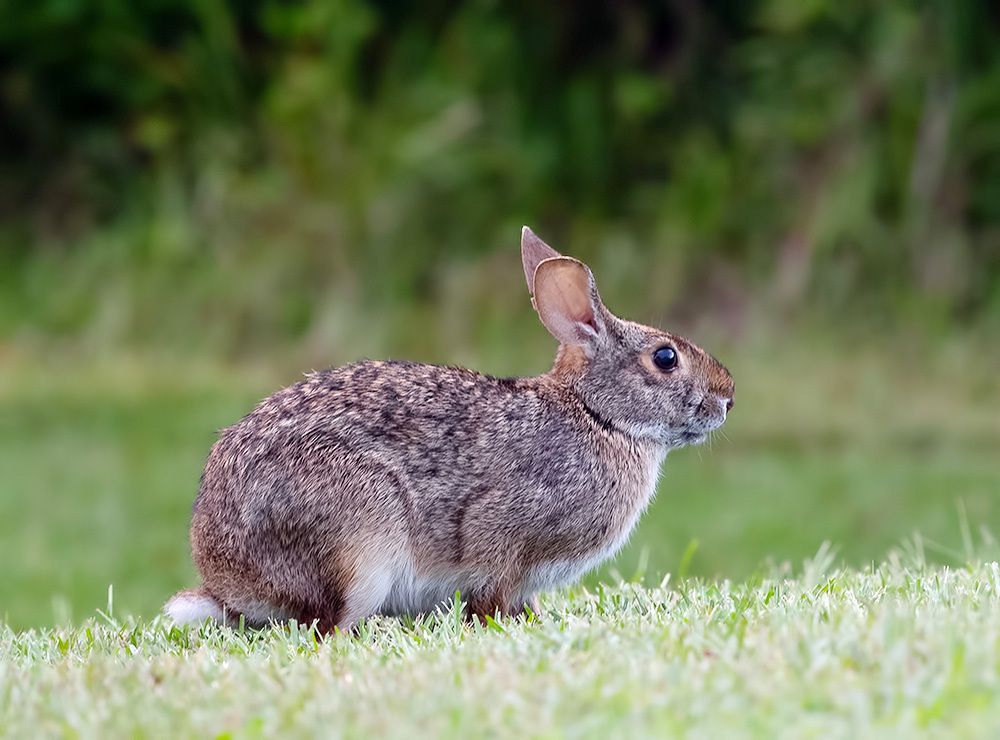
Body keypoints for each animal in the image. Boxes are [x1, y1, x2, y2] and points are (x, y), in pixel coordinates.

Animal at [165, 227, 734, 632]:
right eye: (665, 358)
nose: (728, 397)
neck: (598, 415)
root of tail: (228, 581)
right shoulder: (502, 535)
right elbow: (490, 593)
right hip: (360, 537)